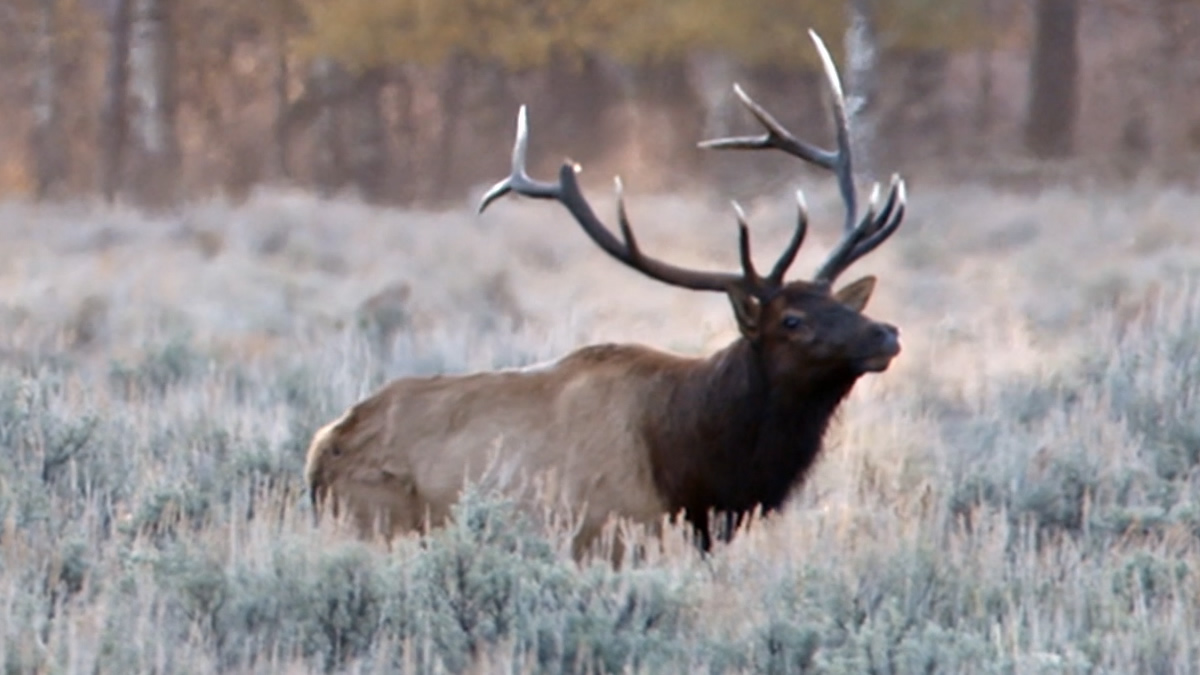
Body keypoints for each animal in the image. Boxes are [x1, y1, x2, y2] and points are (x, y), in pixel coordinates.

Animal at [304, 31, 902, 554]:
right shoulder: (608, 531)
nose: (886, 333)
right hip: (373, 519)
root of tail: (319, 452)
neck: (697, 471)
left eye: (841, 304)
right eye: (792, 321)